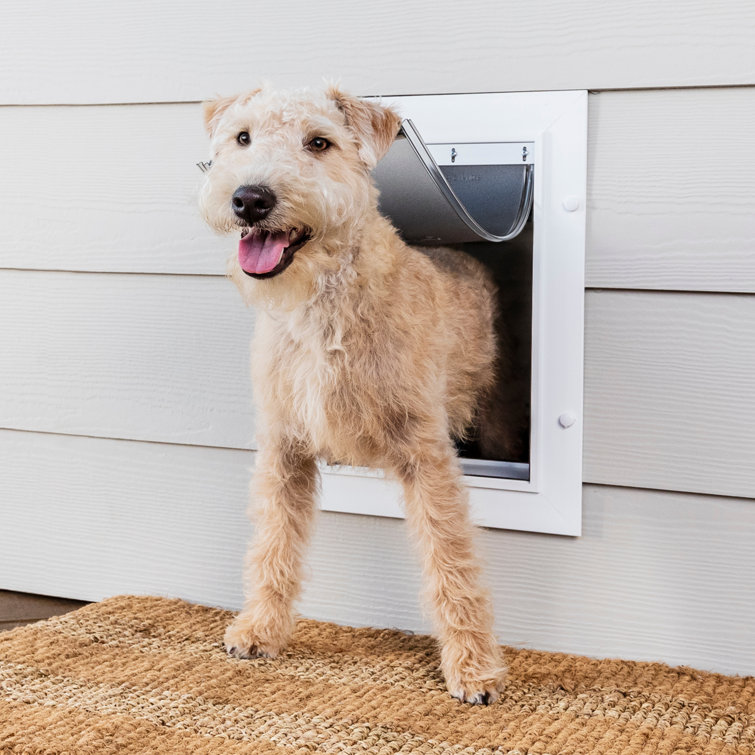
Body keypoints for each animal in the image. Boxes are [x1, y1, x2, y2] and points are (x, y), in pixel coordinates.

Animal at [199, 85, 508, 704]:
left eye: (319, 143)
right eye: (242, 137)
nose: (249, 199)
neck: (321, 304)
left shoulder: (426, 453)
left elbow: (452, 557)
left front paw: (474, 671)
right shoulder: (283, 447)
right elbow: (273, 542)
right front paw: (258, 631)